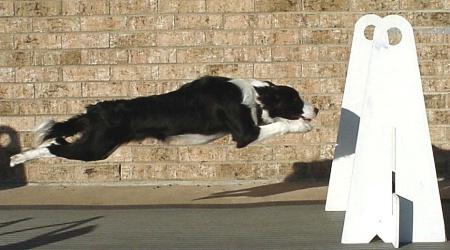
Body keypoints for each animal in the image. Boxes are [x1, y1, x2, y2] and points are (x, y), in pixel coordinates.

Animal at [10, 75, 320, 167]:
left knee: (56, 142)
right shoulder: (245, 134)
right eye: (295, 99)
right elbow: (280, 124)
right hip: (96, 149)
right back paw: (17, 158)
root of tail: (94, 110)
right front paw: (302, 125)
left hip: (96, 145)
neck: (253, 93)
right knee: (55, 145)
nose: (317, 109)